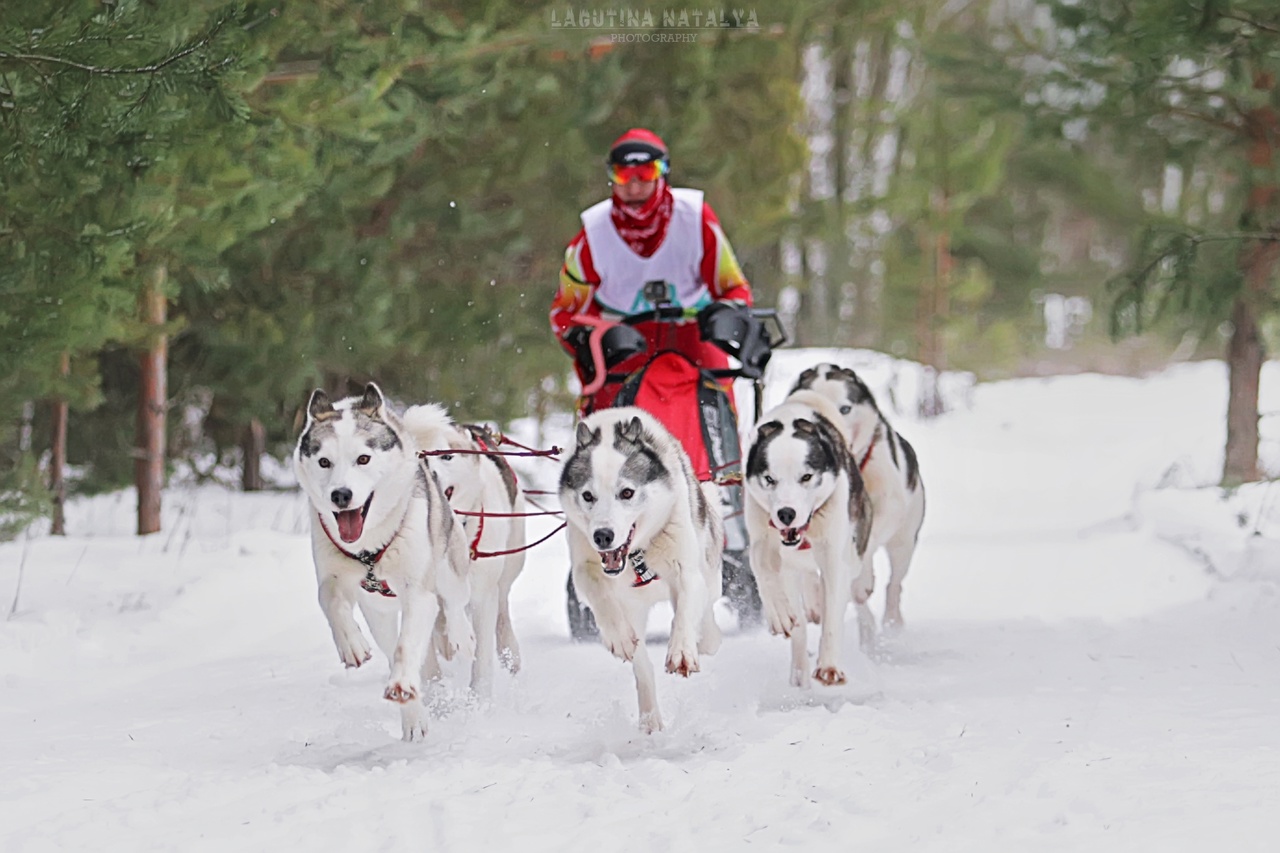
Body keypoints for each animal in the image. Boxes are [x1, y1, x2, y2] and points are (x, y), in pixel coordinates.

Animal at [294, 379, 476, 737]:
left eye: (363, 458)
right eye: (324, 462)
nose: (341, 495)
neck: (369, 549)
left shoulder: (418, 591)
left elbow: (408, 645)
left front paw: (403, 685)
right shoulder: (337, 575)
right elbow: (329, 599)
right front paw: (351, 643)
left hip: (449, 570)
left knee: (453, 607)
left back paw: (461, 640)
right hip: (379, 611)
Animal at [394, 404, 524, 696]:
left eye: (446, 456)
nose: (430, 475)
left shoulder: (483, 595)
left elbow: (482, 660)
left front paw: (480, 700)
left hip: (510, 564)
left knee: (502, 606)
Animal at [558, 404, 727, 732]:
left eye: (627, 493)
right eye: (588, 496)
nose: (603, 536)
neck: (638, 555)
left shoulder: (686, 572)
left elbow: (685, 613)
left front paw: (682, 650)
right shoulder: (585, 568)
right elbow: (602, 598)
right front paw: (619, 637)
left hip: (709, 572)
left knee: (706, 612)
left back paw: (706, 638)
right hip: (634, 608)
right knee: (642, 664)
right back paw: (650, 718)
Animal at [747, 386, 875, 686]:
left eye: (806, 477)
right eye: (769, 479)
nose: (786, 513)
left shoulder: (833, 555)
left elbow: (833, 612)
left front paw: (829, 665)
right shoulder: (764, 536)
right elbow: (760, 563)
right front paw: (779, 614)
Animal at [788, 361, 921, 627]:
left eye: (845, 408)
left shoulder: (887, 506)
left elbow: (868, 537)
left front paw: (862, 583)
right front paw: (814, 598)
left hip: (904, 542)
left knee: (894, 583)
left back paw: (891, 620)